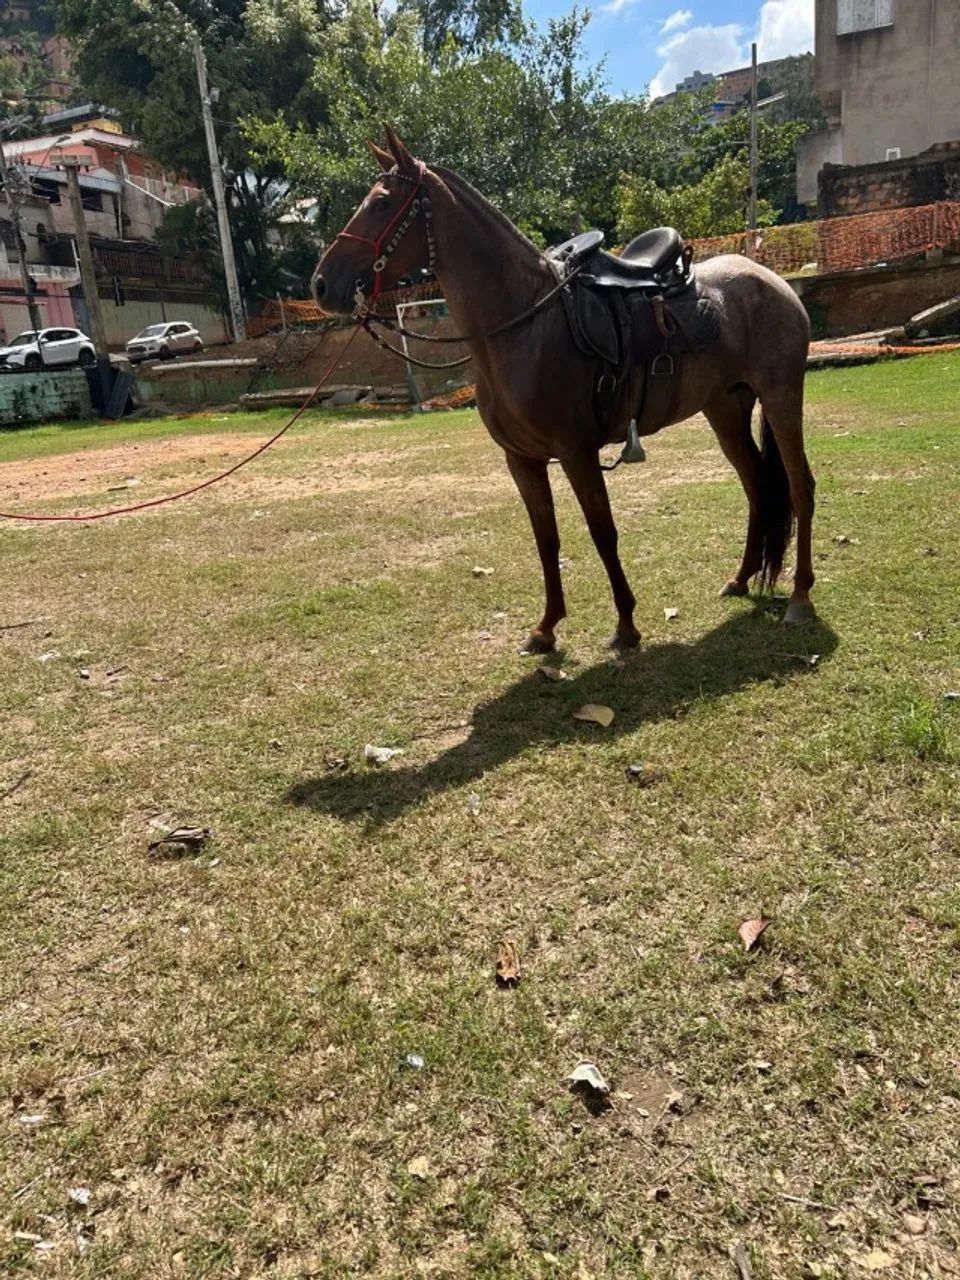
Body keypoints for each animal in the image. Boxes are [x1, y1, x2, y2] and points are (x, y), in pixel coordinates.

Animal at [313, 126, 817, 654]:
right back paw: (740, 579)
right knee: (757, 486)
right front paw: (546, 626)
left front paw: (625, 625)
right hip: (725, 409)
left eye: (382, 203)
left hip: (781, 397)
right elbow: (547, 539)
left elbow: (602, 532)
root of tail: (773, 281)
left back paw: (801, 596)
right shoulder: (522, 461)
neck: (524, 325)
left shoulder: (577, 453)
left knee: (799, 486)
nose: (322, 284)